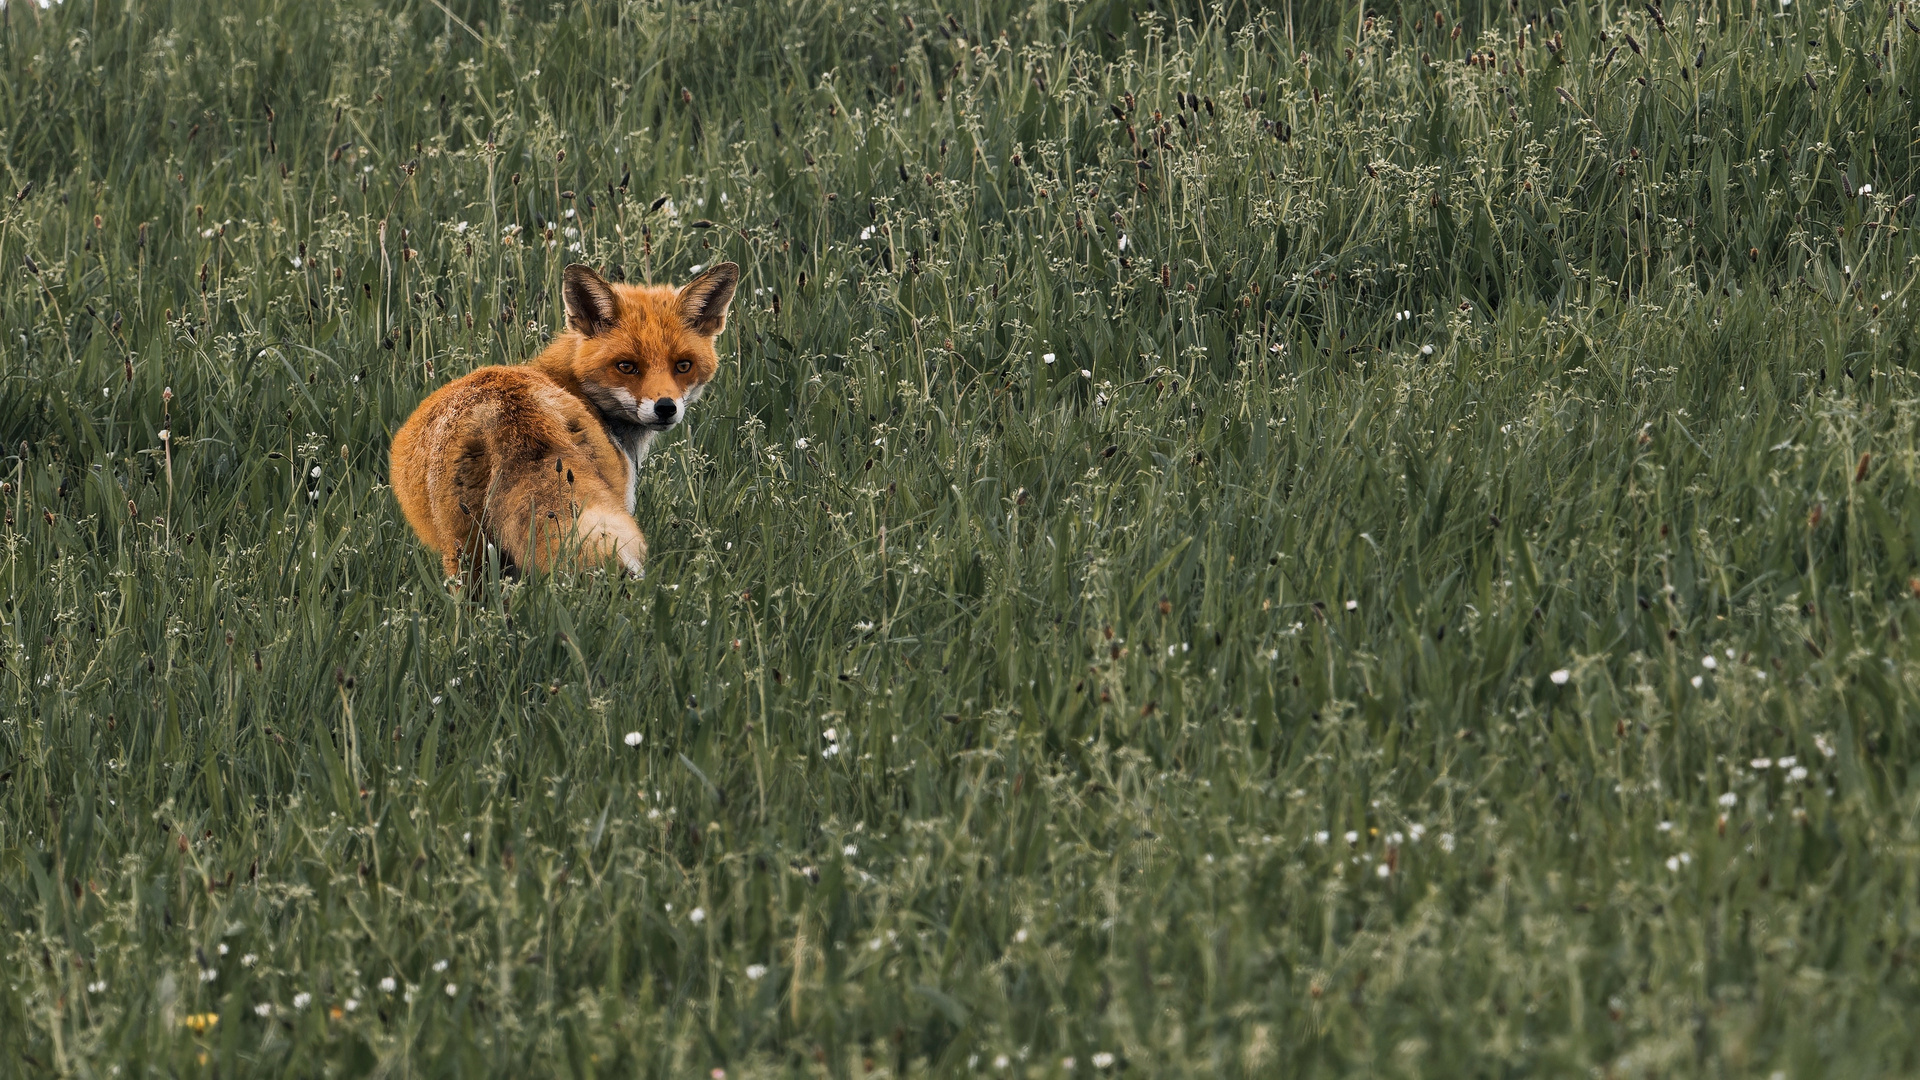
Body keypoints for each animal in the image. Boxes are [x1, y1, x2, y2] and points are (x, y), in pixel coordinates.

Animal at [387, 259, 733, 580]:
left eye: (683, 365)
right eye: (626, 366)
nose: (665, 408)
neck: (570, 383)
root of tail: (510, 413)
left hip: (467, 549)